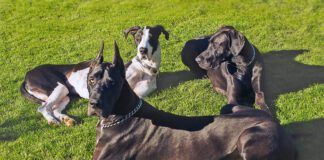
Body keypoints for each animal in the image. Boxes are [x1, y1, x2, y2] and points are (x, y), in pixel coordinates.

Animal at [86, 41, 296, 160]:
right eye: (91, 79)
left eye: (112, 83)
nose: (95, 104)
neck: (121, 114)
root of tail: (275, 122)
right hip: (230, 107)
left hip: (247, 138)